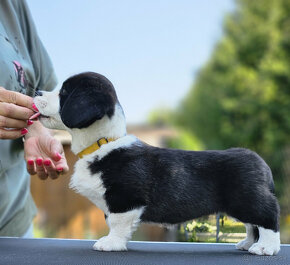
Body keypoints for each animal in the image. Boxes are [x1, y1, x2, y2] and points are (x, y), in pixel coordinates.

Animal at [34, 71, 280, 254]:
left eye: (64, 92)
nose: (36, 91)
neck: (101, 143)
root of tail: (260, 161)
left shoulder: (124, 199)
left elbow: (117, 224)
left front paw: (110, 243)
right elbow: (114, 223)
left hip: (248, 200)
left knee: (267, 217)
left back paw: (265, 247)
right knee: (252, 225)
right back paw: (248, 244)